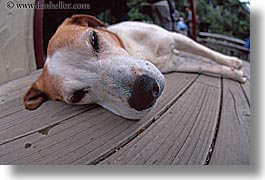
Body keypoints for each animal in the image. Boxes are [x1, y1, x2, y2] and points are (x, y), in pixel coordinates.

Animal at [23, 15, 245, 119]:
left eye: (94, 39)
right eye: (77, 96)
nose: (145, 92)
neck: (136, 50)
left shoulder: (175, 37)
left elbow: (207, 52)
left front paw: (233, 63)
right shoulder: (177, 63)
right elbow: (204, 66)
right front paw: (234, 73)